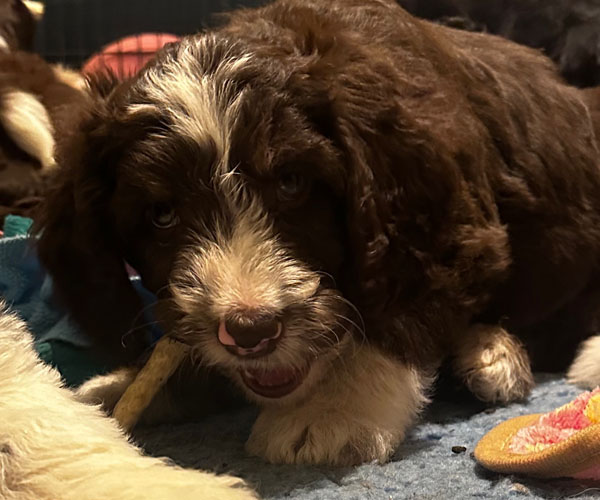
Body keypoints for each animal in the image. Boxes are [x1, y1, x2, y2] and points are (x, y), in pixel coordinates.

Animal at [35, 0, 600, 466]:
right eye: (162, 214)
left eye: (292, 183)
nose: (251, 332)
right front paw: (124, 390)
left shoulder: (437, 230)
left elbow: (395, 313)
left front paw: (334, 408)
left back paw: (508, 357)